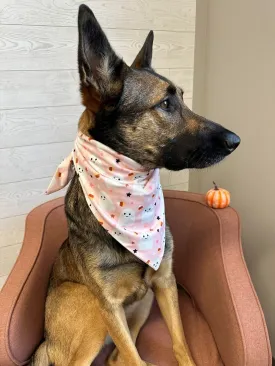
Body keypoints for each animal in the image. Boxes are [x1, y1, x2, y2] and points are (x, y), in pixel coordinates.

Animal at [30, 3, 242, 366]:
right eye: (166, 104)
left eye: (182, 98)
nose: (235, 141)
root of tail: (45, 342)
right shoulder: (109, 307)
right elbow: (134, 356)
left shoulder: (165, 283)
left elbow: (180, 345)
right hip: (89, 307)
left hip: (144, 302)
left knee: (117, 359)